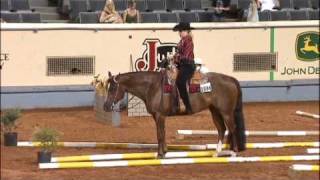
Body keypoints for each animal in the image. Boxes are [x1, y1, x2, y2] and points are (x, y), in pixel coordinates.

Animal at [104, 71, 246, 158]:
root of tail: (231, 79)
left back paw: (234, 152)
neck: (153, 86)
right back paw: (217, 153)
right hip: (215, 111)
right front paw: (164, 152)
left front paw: (160, 154)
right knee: (221, 129)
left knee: (232, 129)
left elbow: (159, 134)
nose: (105, 106)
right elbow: (162, 133)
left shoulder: (160, 115)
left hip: (226, 112)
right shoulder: (157, 117)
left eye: (113, 88)